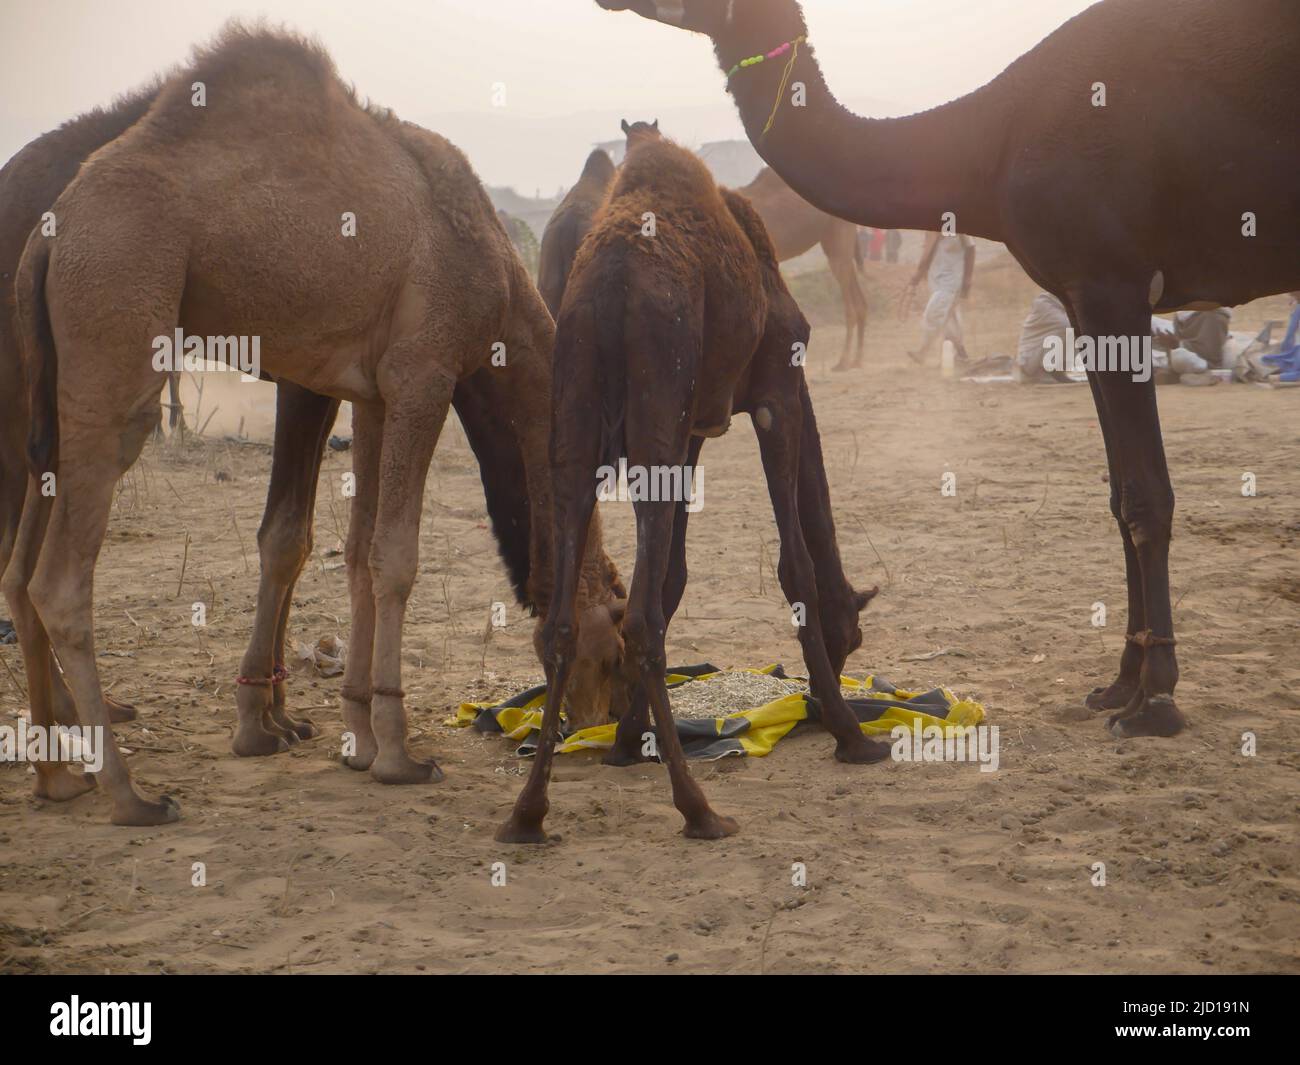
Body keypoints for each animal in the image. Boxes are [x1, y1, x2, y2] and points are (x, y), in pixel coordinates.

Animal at [5, 22, 624, 827]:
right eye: (616, 644)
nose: (603, 728)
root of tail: (47, 238)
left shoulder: (373, 391)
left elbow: (357, 553)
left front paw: (357, 737)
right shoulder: (424, 373)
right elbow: (396, 558)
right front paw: (398, 753)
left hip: (49, 390)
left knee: (23, 571)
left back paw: (57, 778)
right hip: (115, 323)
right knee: (59, 579)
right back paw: (130, 794)